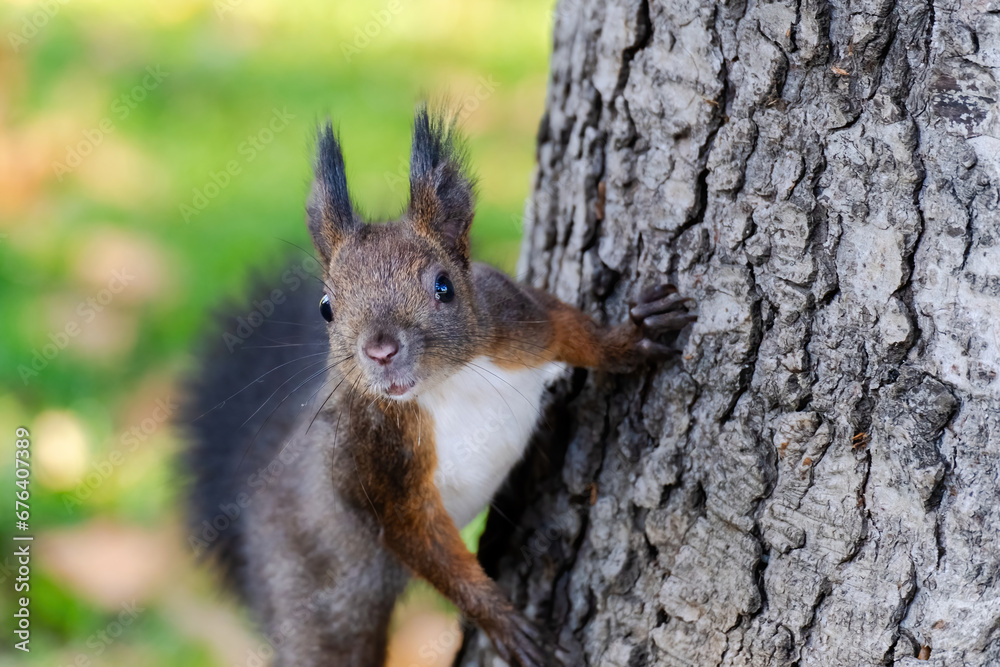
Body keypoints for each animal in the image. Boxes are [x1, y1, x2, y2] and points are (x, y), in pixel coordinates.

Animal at [183, 106, 695, 667]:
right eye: (326, 307)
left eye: (443, 286)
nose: (380, 350)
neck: (448, 385)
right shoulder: (375, 465)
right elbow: (429, 549)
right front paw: (503, 622)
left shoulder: (517, 318)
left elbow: (571, 329)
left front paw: (631, 339)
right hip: (314, 596)